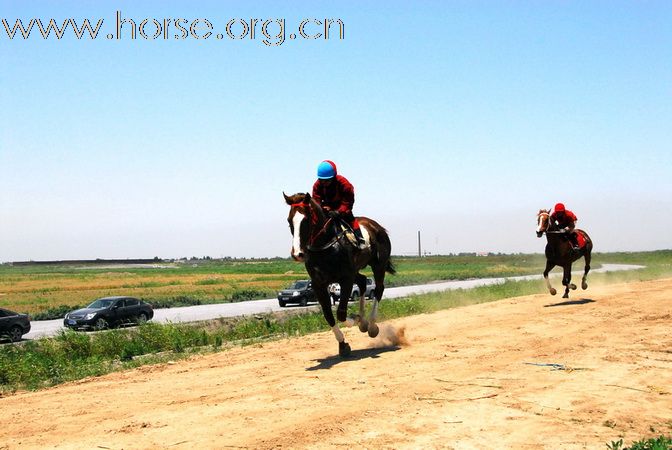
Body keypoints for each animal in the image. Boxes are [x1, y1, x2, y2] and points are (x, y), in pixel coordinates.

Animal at [282, 192, 396, 356]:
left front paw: (355, 319)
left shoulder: (346, 279)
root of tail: (377, 227)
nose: (298, 253)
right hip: (356, 270)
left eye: (306, 219)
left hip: (378, 265)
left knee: (379, 289)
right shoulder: (318, 284)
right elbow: (328, 315)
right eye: (289, 220)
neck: (325, 248)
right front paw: (343, 344)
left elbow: (341, 313)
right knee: (362, 281)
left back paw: (371, 325)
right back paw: (363, 321)